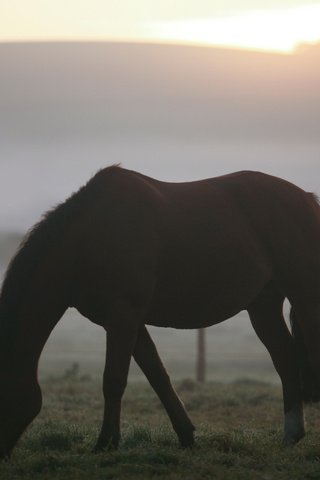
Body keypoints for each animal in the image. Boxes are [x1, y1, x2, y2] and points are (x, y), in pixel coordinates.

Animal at [0, 166, 320, 458]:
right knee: (285, 360)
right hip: (263, 306)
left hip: (306, 296)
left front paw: (105, 443)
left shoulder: (123, 317)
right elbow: (158, 377)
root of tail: (307, 199)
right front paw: (186, 436)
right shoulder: (128, 323)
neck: (91, 238)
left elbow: (113, 381)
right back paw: (291, 435)